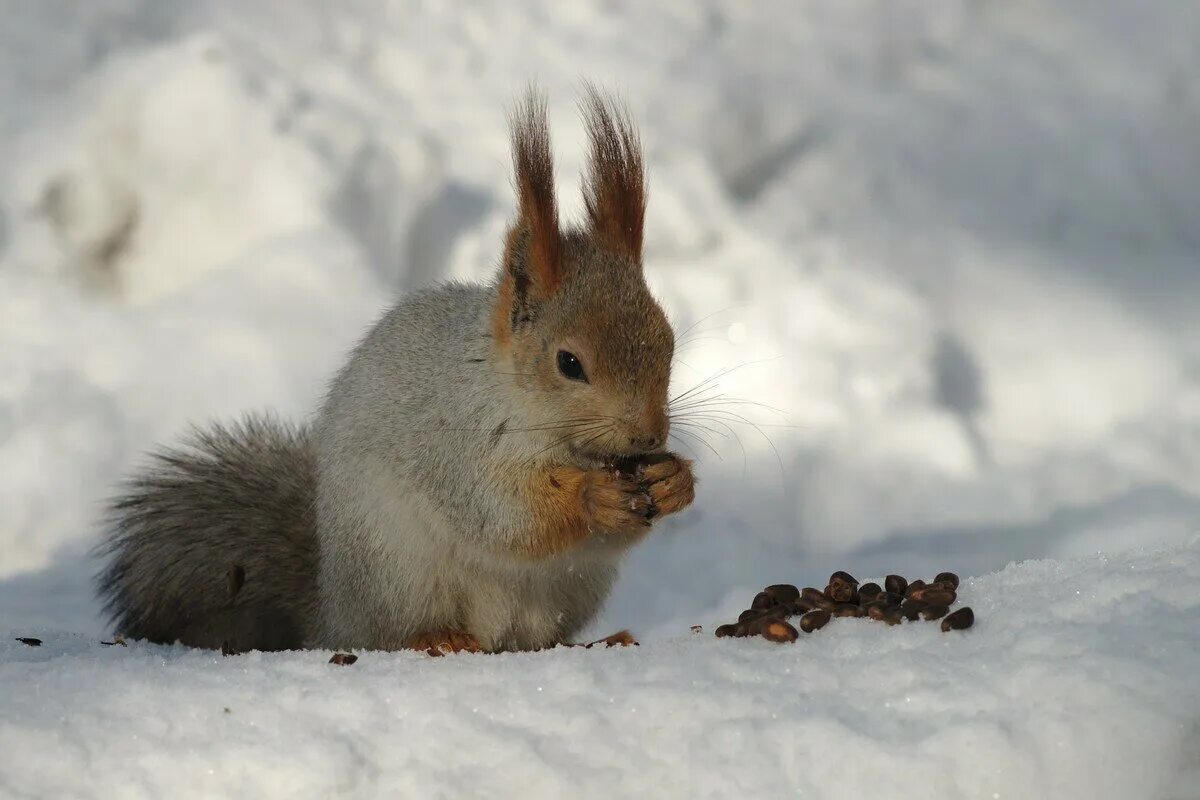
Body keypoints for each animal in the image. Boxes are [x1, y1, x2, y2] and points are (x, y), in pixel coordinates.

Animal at [96, 84, 696, 652]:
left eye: (668, 341)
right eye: (569, 363)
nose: (649, 435)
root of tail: (334, 609)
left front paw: (675, 481)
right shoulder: (455, 443)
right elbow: (505, 516)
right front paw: (593, 496)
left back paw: (596, 639)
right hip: (397, 568)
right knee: (391, 634)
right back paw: (439, 639)